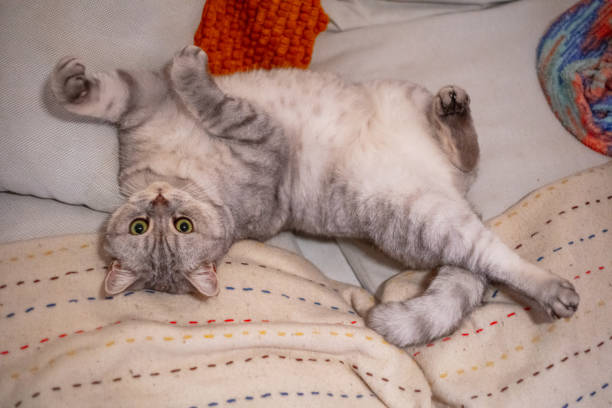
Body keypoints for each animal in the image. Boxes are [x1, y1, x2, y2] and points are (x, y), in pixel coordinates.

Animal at [49, 44, 580, 346]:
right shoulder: (259, 141)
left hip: (406, 98)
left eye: (180, 226)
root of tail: (458, 195)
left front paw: (68, 83)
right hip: (428, 221)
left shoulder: (148, 101)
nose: (160, 203)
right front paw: (190, 72)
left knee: (467, 155)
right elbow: (214, 102)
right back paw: (553, 291)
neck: (180, 175)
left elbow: (109, 94)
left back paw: (452, 111)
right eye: (146, 229)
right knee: (494, 259)